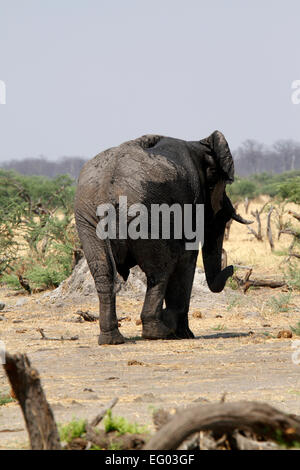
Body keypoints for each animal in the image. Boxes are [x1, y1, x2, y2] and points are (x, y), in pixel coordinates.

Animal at [75, 132, 251, 346]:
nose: (231, 268)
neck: (199, 145)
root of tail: (109, 189)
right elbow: (187, 260)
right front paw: (184, 334)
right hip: (148, 216)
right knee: (160, 272)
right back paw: (158, 332)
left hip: (88, 218)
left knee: (104, 272)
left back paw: (112, 339)